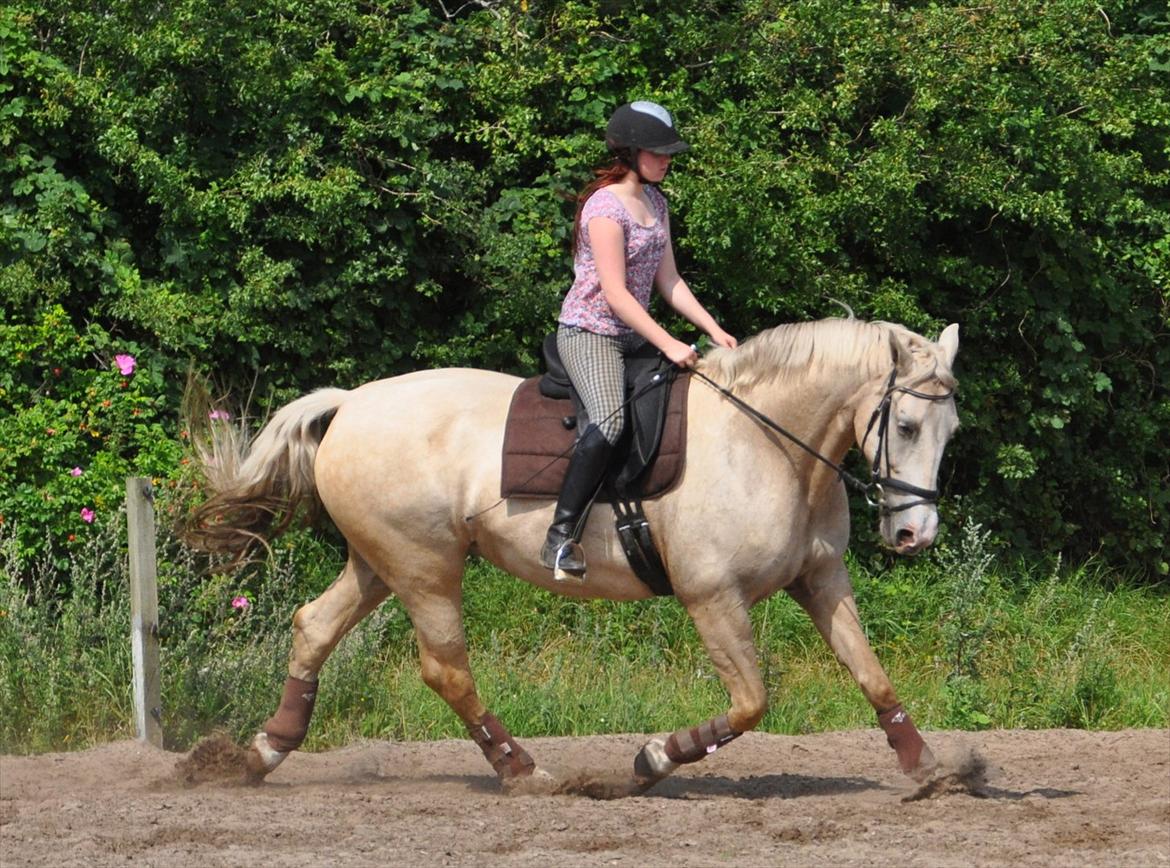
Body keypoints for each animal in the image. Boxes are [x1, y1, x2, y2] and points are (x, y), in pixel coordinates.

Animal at [184, 318, 959, 795]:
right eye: (906, 425)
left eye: (950, 430)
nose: (914, 535)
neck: (769, 444)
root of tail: (350, 404)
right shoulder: (713, 596)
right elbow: (749, 704)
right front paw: (651, 760)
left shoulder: (821, 578)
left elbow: (873, 675)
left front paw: (934, 770)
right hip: (425, 566)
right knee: (446, 668)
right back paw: (521, 769)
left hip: (380, 563)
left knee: (314, 625)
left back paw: (259, 753)